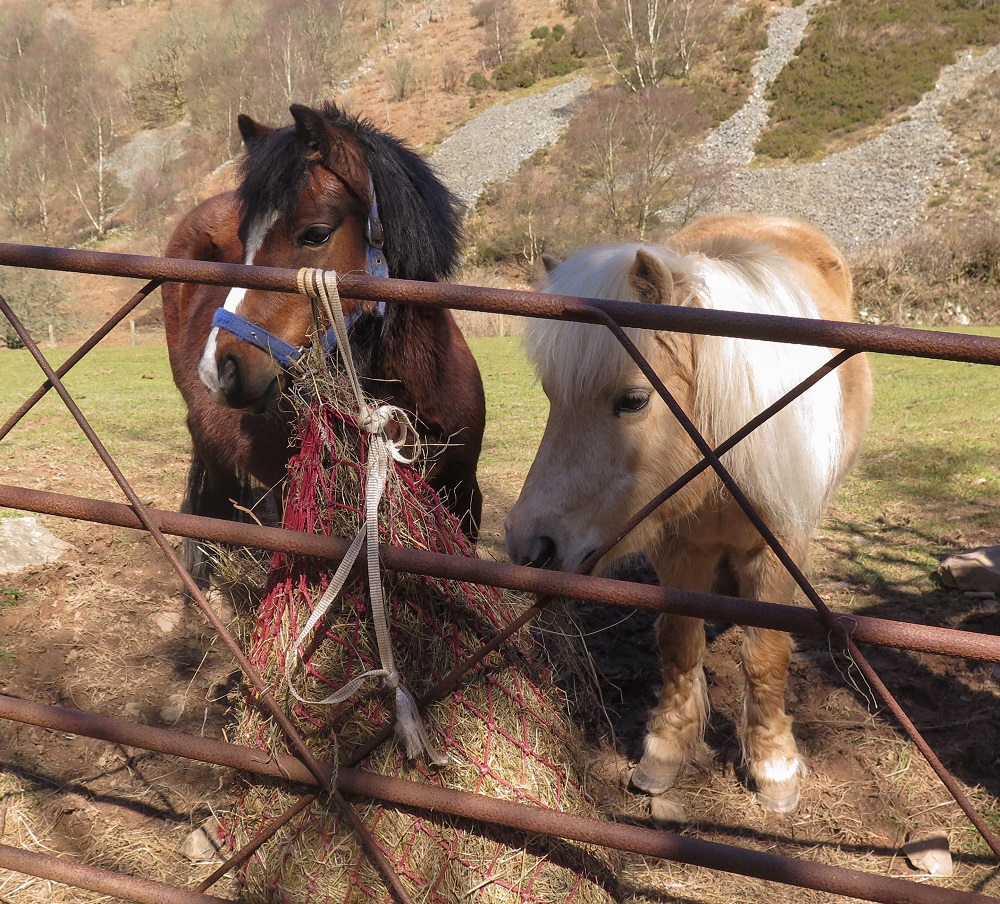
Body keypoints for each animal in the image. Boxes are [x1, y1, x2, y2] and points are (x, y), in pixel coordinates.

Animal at [504, 214, 872, 812]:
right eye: (551, 396)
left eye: (633, 400)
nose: (529, 545)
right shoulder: (677, 547)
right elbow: (679, 641)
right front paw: (667, 748)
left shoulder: (780, 548)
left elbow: (766, 654)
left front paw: (773, 765)